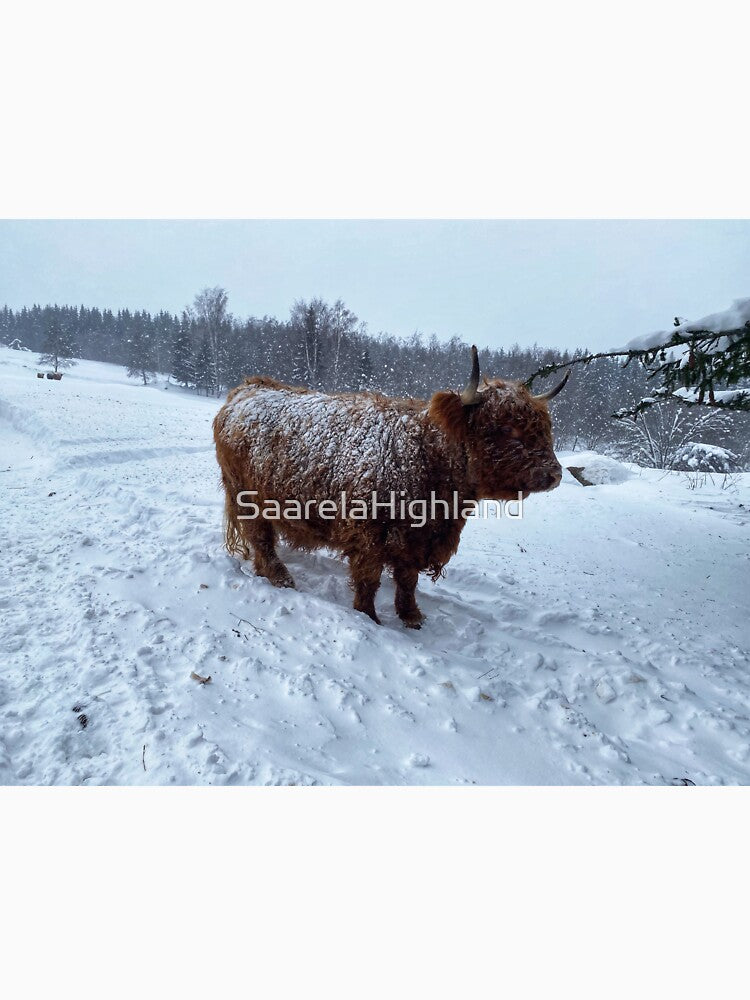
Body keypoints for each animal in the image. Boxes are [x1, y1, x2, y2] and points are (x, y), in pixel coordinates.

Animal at [213, 347, 568, 628]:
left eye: (545, 428)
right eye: (505, 428)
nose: (554, 473)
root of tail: (246, 389)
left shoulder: (417, 540)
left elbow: (407, 581)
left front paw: (411, 616)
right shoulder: (368, 536)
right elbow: (369, 581)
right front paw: (368, 617)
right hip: (246, 495)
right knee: (261, 538)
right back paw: (280, 577)